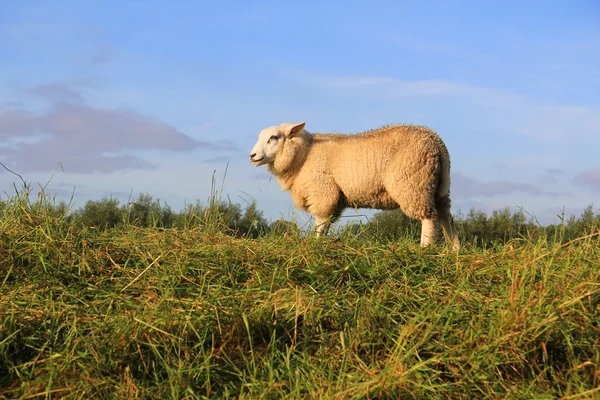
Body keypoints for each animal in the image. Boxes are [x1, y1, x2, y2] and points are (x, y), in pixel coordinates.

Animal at [248, 121, 460, 250]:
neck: (305, 154)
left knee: (429, 218)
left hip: (414, 184)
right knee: (446, 217)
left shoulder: (323, 193)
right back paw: (455, 250)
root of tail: (437, 143)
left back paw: (424, 248)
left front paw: (316, 244)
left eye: (273, 138)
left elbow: (320, 224)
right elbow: (326, 224)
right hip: (439, 187)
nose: (252, 156)